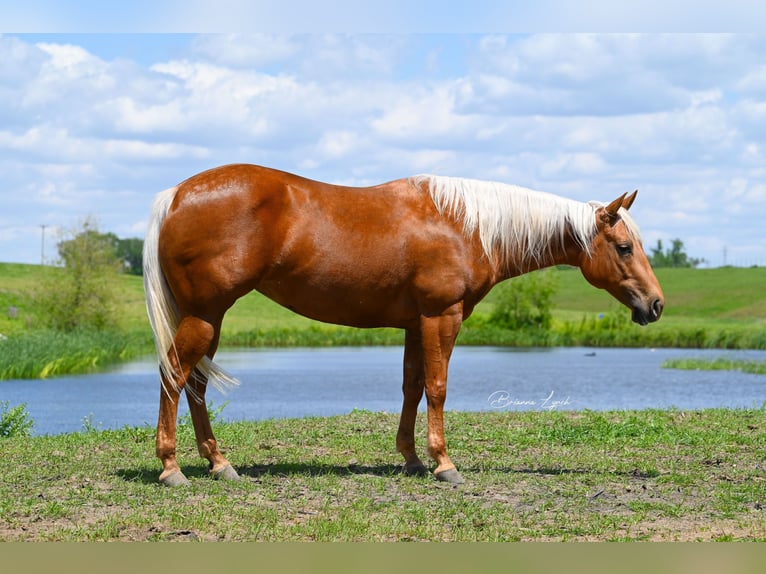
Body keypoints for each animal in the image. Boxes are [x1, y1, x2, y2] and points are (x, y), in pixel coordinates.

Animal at [146, 164, 664, 488]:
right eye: (623, 247)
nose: (656, 304)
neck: (466, 225)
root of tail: (176, 195)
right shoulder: (442, 317)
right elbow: (438, 387)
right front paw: (444, 464)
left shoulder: (417, 325)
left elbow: (412, 386)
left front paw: (412, 458)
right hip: (205, 316)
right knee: (174, 375)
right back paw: (172, 467)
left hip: (210, 319)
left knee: (194, 384)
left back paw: (219, 463)